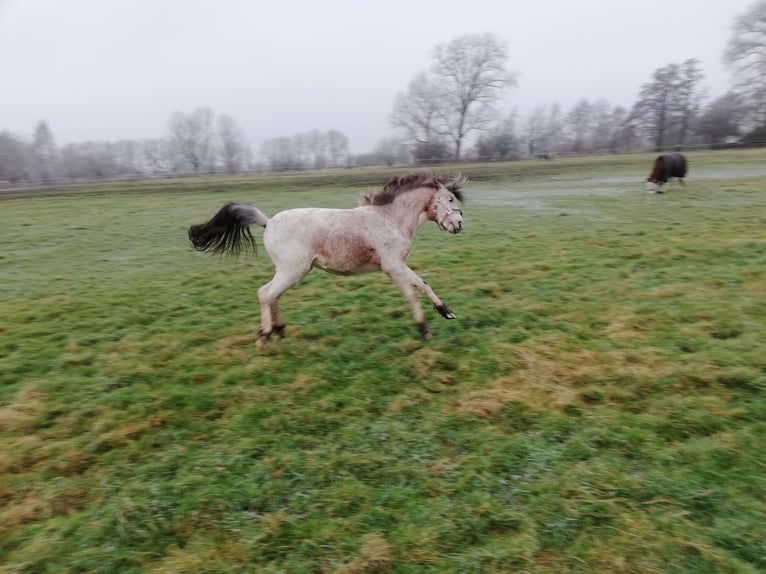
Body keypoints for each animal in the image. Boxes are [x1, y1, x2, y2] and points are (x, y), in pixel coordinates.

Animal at [190, 173, 468, 348]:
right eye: (450, 199)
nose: (459, 225)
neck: (390, 218)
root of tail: (268, 222)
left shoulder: (396, 267)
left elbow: (421, 286)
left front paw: (444, 313)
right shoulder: (393, 266)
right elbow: (414, 292)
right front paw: (427, 327)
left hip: (290, 272)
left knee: (272, 296)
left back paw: (279, 331)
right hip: (293, 270)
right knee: (265, 293)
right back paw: (265, 336)